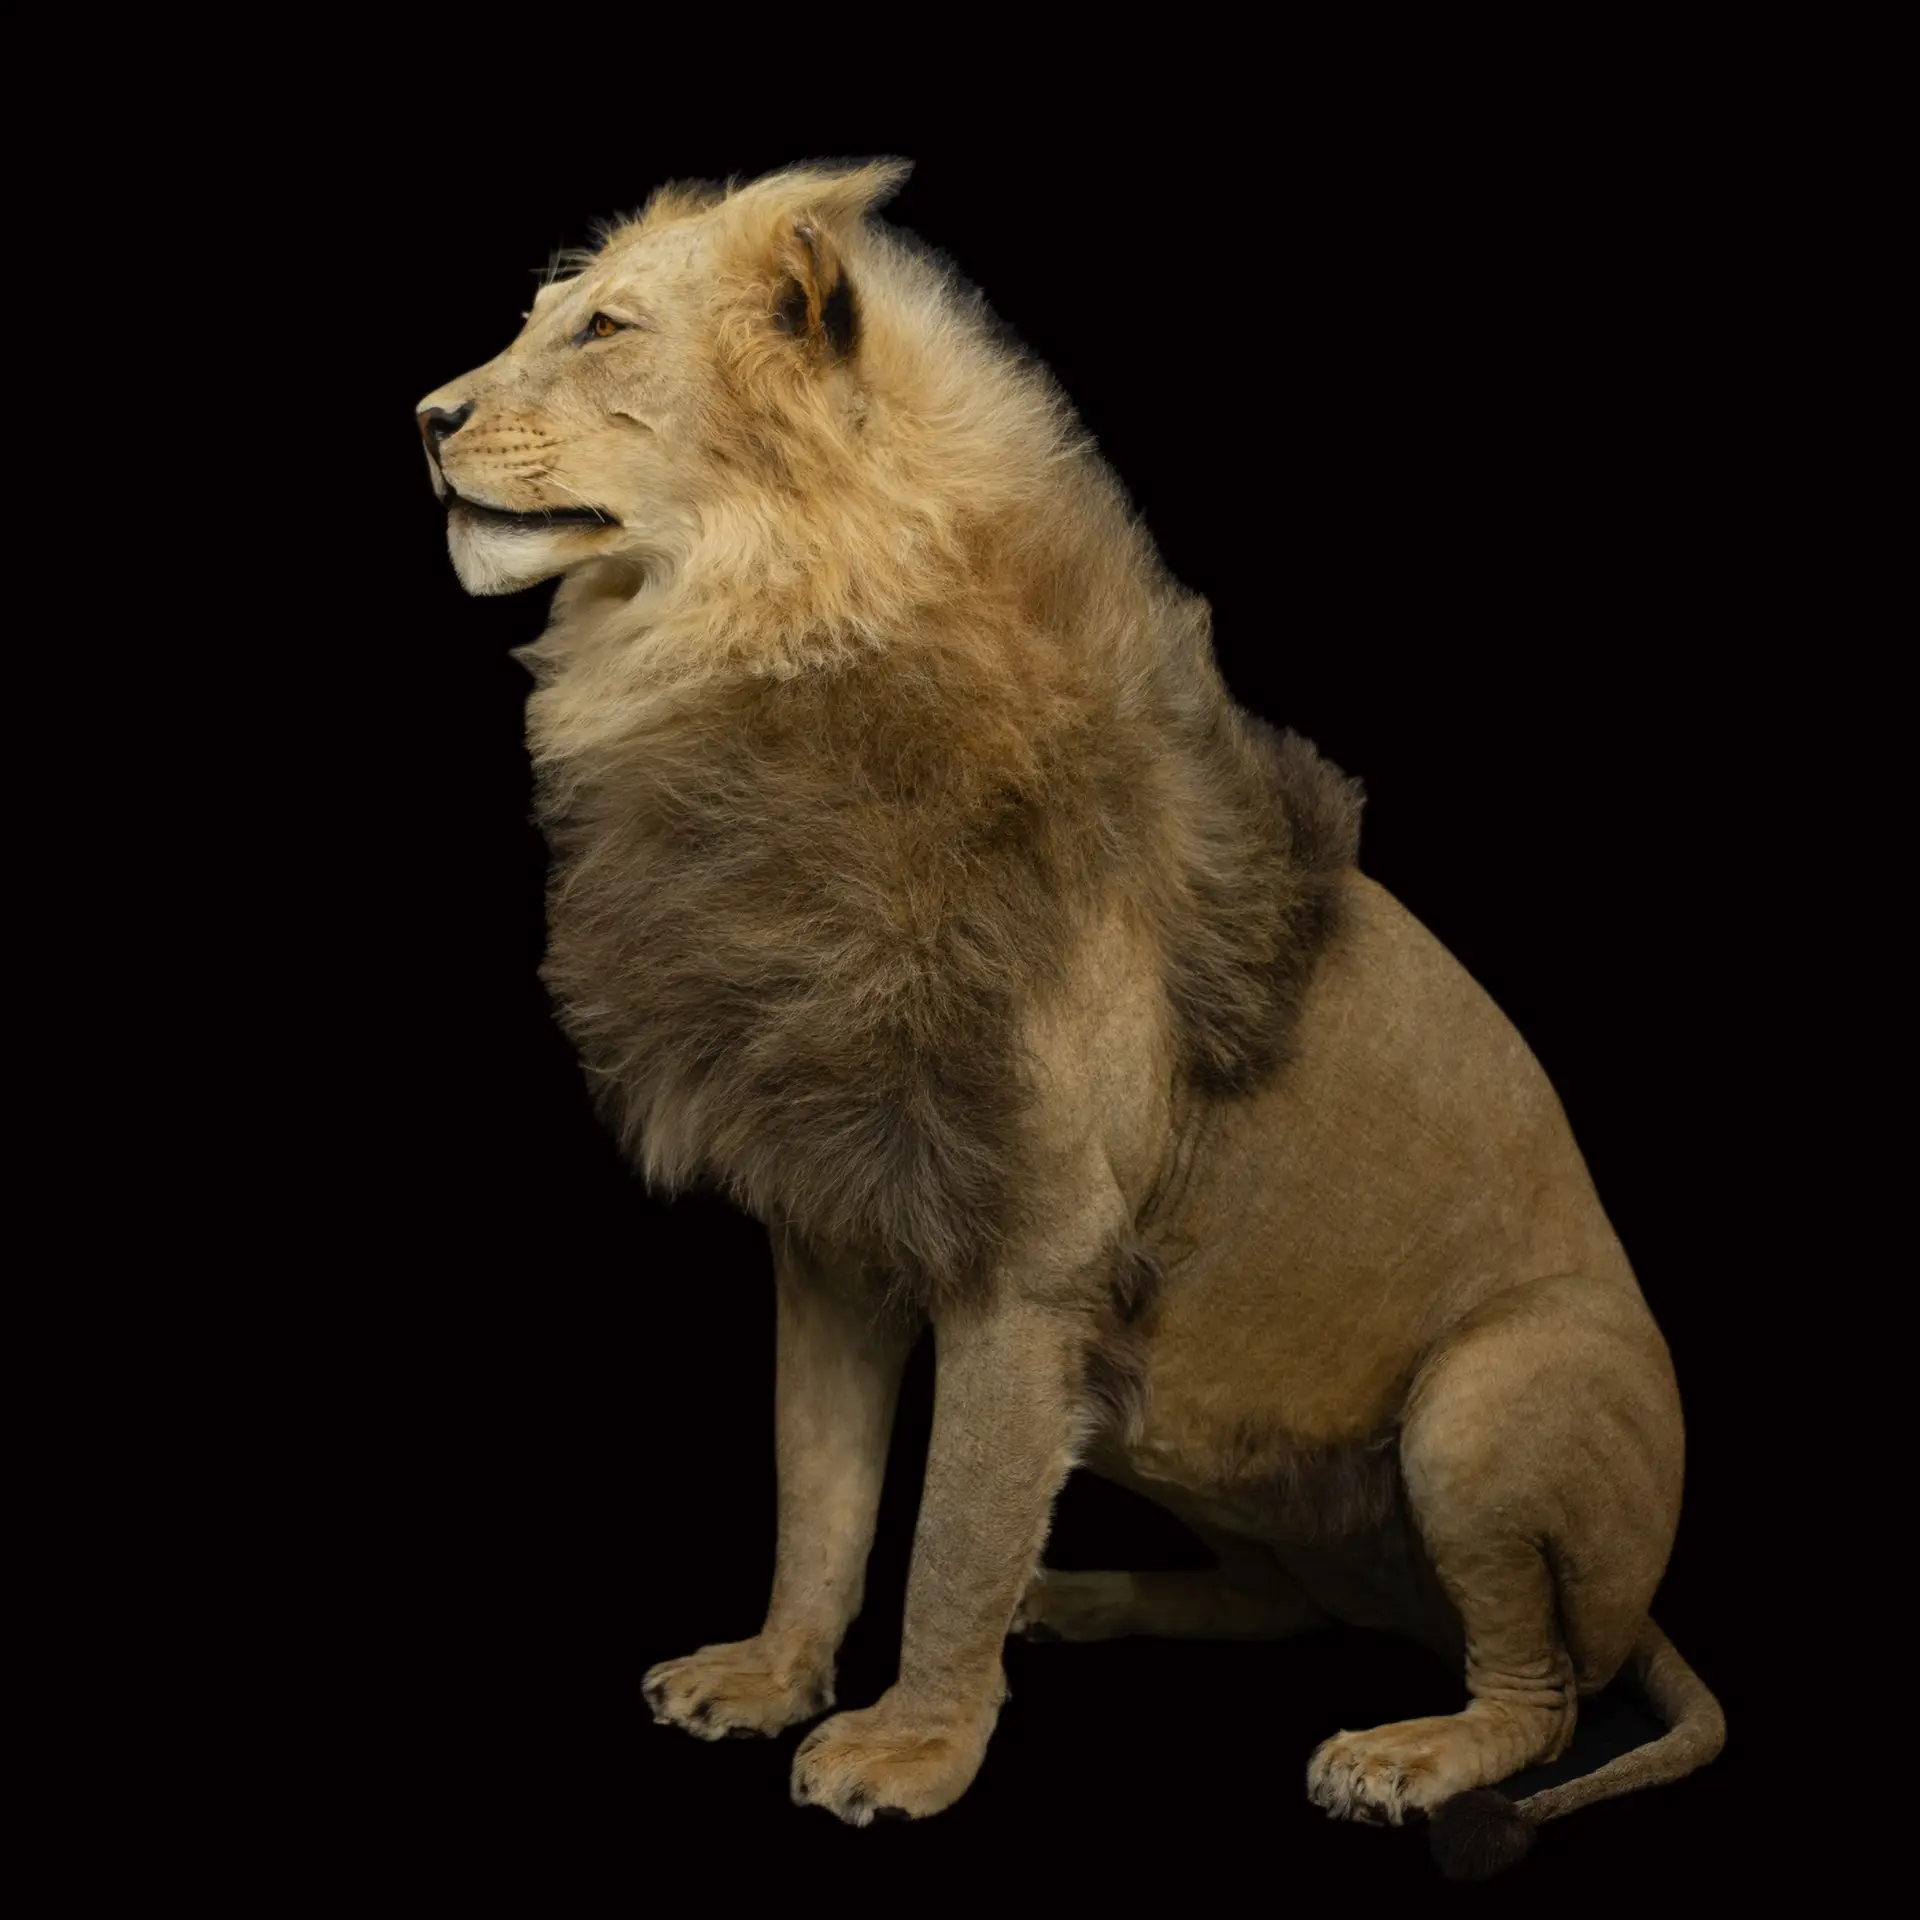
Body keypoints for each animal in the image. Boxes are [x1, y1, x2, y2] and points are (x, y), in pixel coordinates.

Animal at [415, 159, 1723, 1878]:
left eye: (604, 330)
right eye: (534, 319)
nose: (426, 416)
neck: (747, 642)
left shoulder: (1027, 1256)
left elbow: (952, 1530)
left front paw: (906, 1747)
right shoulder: (831, 1234)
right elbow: (819, 1492)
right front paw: (770, 1676)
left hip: (1485, 1405)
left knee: (1547, 1690)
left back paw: (1407, 1755)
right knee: (1288, 1598)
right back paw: (1086, 1597)